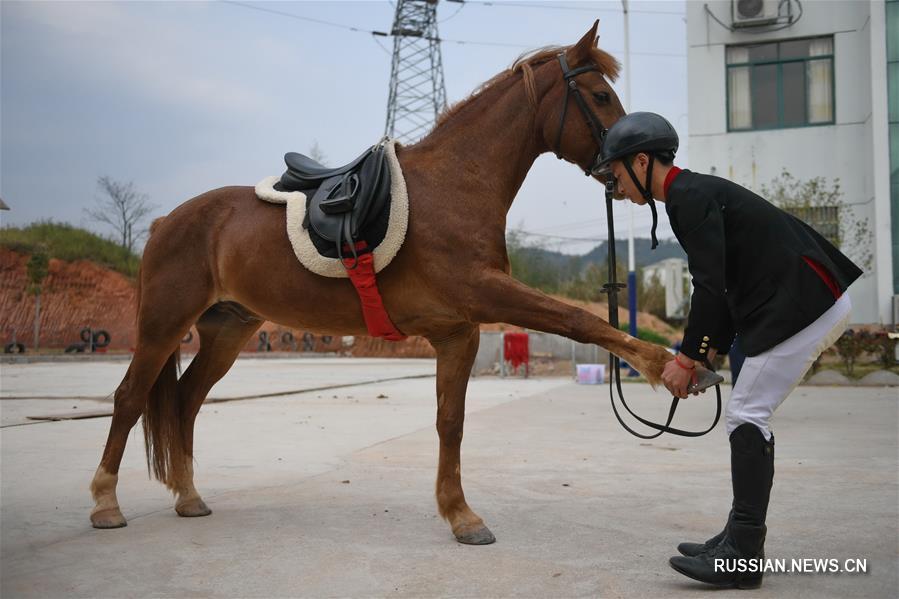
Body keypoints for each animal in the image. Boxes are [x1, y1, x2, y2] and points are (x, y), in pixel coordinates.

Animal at [91, 22, 680, 548]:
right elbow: (576, 319)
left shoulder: (459, 332)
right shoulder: (486, 294)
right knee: (130, 397)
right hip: (164, 323)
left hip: (227, 331)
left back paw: (189, 496)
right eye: (600, 95)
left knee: (186, 400)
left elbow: (450, 421)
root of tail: (166, 222)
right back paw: (105, 503)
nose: (645, 161)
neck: (454, 186)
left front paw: (461, 516)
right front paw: (663, 366)